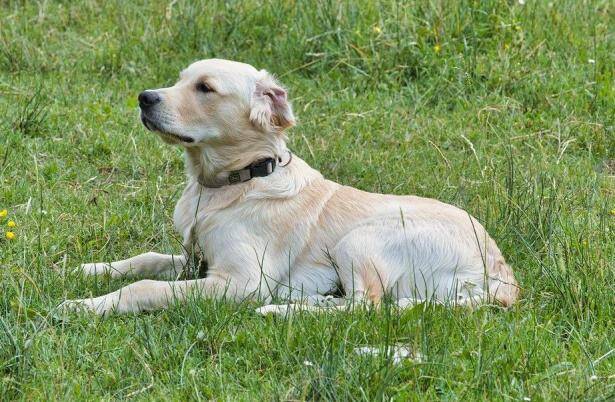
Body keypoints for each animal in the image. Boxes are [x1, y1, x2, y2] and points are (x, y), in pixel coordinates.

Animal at [59, 58, 520, 316]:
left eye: (205, 88)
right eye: (179, 79)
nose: (144, 98)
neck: (236, 182)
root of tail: (502, 275)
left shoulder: (241, 281)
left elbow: (146, 288)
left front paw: (85, 305)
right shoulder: (196, 261)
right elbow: (147, 260)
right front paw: (87, 270)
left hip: (361, 238)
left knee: (369, 308)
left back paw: (282, 311)